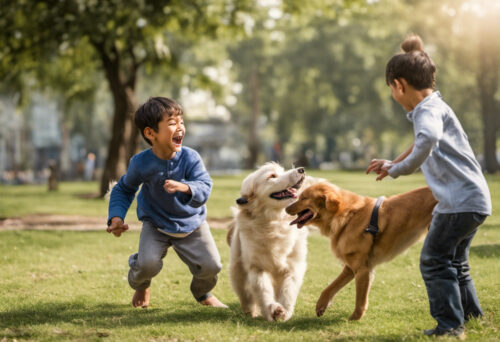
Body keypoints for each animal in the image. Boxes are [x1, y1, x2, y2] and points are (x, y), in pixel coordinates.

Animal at [228, 162, 316, 320]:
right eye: (272, 176)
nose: (301, 169)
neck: (274, 223)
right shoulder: (257, 267)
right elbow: (263, 289)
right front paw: (271, 309)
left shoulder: (293, 266)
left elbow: (288, 290)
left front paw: (284, 311)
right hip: (236, 269)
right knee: (246, 295)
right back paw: (250, 311)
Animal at [286, 182, 438, 320]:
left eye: (303, 198)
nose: (286, 208)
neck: (349, 216)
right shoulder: (350, 267)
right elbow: (329, 287)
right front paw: (321, 305)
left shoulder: (362, 270)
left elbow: (360, 300)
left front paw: (354, 319)